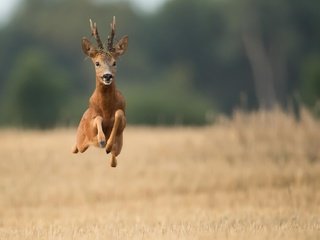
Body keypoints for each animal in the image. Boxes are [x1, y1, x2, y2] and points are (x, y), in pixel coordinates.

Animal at [72, 16, 128, 167]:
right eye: (97, 63)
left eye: (114, 62)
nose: (107, 76)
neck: (106, 108)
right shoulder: (91, 125)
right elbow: (97, 118)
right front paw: (102, 140)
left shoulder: (123, 122)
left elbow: (119, 114)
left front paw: (108, 145)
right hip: (81, 139)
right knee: (76, 147)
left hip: (119, 147)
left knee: (114, 161)